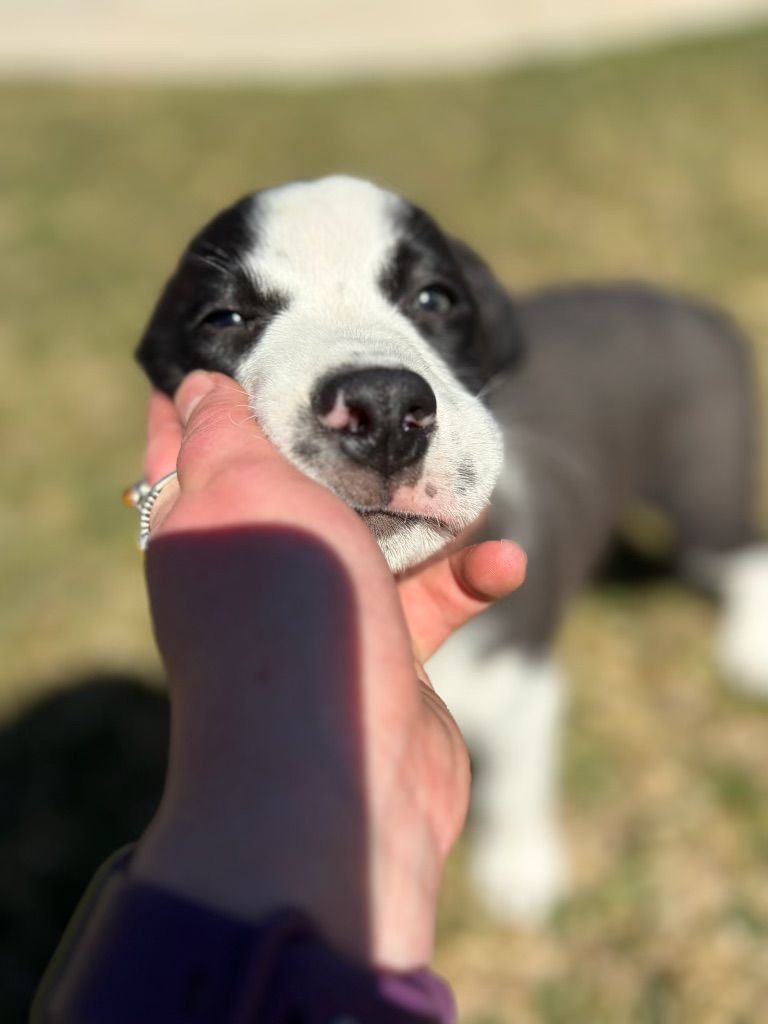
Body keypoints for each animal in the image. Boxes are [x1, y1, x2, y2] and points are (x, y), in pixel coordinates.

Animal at [137, 175, 768, 922]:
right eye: (225, 318)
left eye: (435, 298)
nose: (382, 409)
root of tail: (691, 306)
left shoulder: (525, 679)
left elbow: (518, 782)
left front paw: (521, 867)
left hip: (702, 490)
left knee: (744, 550)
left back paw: (749, 652)